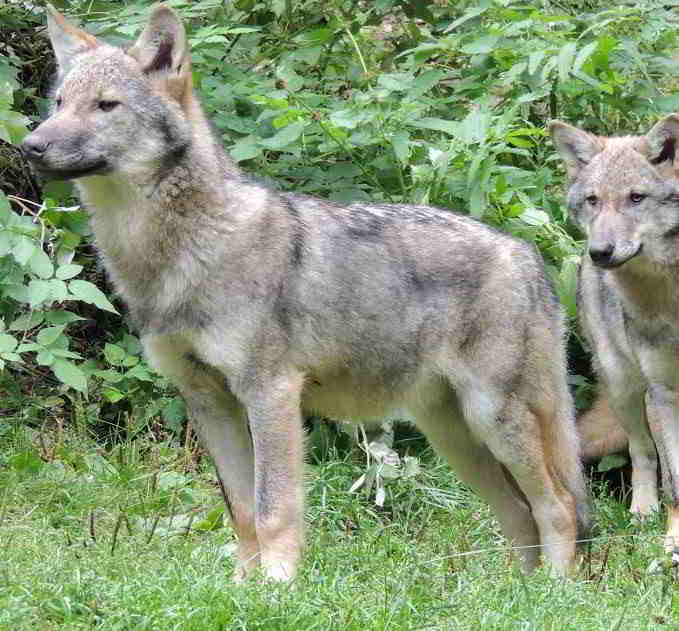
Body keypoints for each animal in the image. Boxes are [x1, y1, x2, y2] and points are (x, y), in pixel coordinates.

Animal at [21, 3, 588, 584]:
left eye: (105, 105)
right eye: (60, 102)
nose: (30, 145)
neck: (180, 255)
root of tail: (527, 255)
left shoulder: (270, 393)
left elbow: (273, 508)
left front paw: (276, 587)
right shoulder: (209, 403)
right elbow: (241, 511)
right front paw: (239, 588)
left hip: (492, 418)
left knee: (559, 506)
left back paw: (554, 591)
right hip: (456, 437)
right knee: (520, 515)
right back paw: (515, 590)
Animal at [556, 116, 679, 560]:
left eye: (636, 197)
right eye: (593, 200)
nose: (601, 252)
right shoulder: (664, 392)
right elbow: (676, 481)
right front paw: (674, 544)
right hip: (624, 384)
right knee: (642, 451)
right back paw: (643, 511)